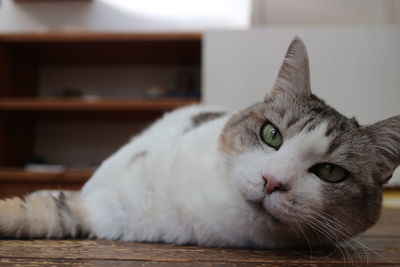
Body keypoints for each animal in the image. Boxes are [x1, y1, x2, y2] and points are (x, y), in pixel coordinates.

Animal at [0, 37, 400, 249]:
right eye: (271, 134)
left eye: (331, 172)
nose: (272, 181)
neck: (217, 209)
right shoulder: (114, 201)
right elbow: (45, 208)